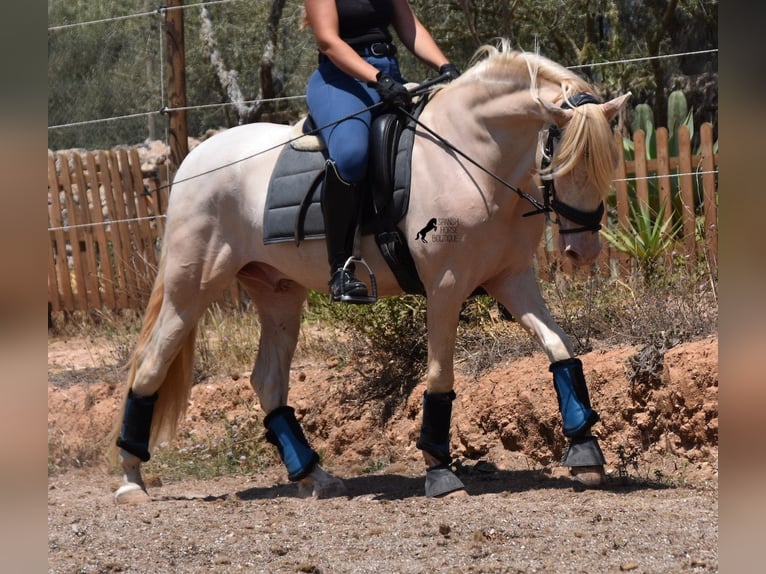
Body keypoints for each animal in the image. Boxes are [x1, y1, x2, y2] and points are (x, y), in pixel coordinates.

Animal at [112, 39, 632, 504]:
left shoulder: (512, 278)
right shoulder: (446, 287)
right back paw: (132, 480)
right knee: (152, 363)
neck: (472, 155)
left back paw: (315, 478)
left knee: (268, 381)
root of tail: (193, 162)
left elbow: (559, 347)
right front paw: (439, 472)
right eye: (560, 160)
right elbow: (439, 375)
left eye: (606, 161)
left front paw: (586, 453)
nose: (583, 250)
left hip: (278, 294)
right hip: (191, 287)